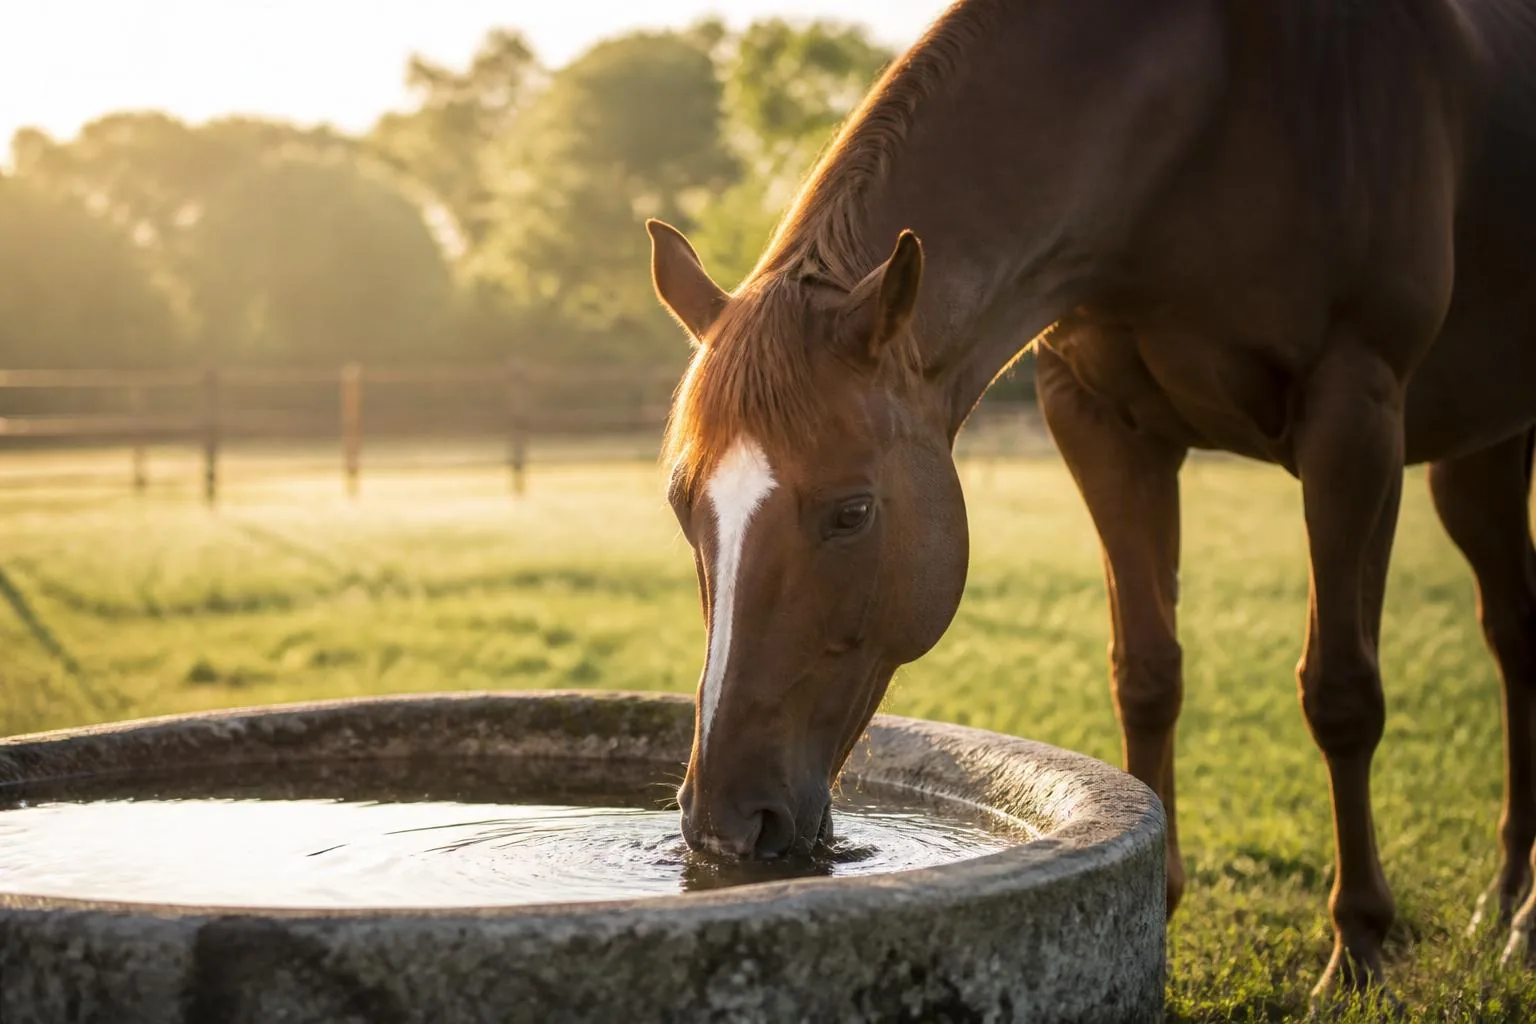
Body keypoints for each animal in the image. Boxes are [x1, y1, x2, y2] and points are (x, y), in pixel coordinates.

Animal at [646, 0, 1536, 1006]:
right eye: (684, 509)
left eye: (854, 512)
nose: (725, 825)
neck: (1216, 105)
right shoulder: (1101, 420)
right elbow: (1145, 672)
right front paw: (1159, 901)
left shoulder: (1355, 413)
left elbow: (1342, 692)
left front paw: (1358, 947)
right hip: (1477, 456)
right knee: (1515, 634)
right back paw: (1506, 898)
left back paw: (1521, 924)